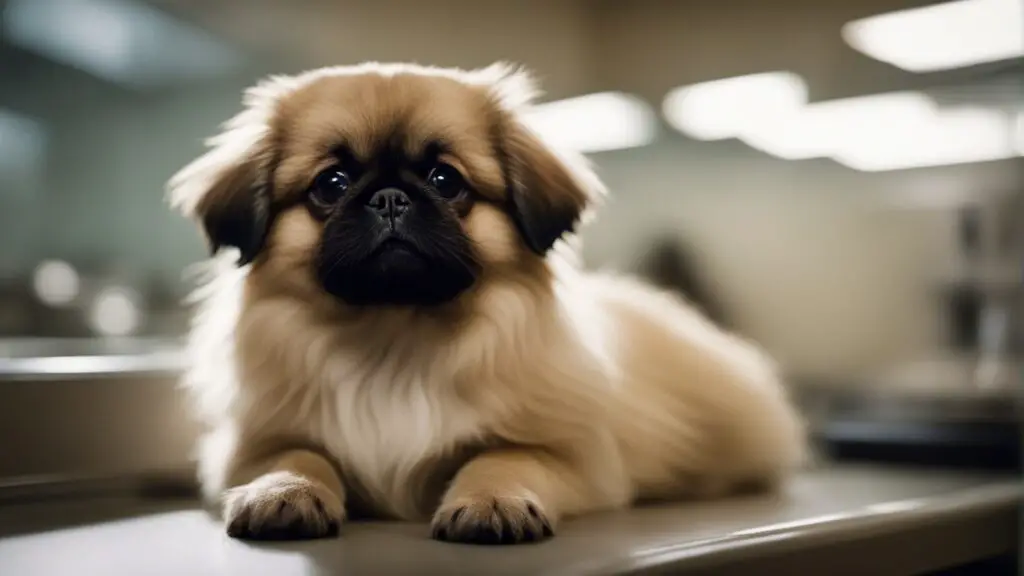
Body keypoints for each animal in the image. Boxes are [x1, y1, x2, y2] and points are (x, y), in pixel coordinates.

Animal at [167, 62, 806, 541]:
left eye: (445, 181)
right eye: (332, 184)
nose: (390, 198)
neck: (394, 335)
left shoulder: (569, 455)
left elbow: (501, 458)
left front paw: (492, 502)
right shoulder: (251, 445)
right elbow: (299, 455)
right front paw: (283, 493)